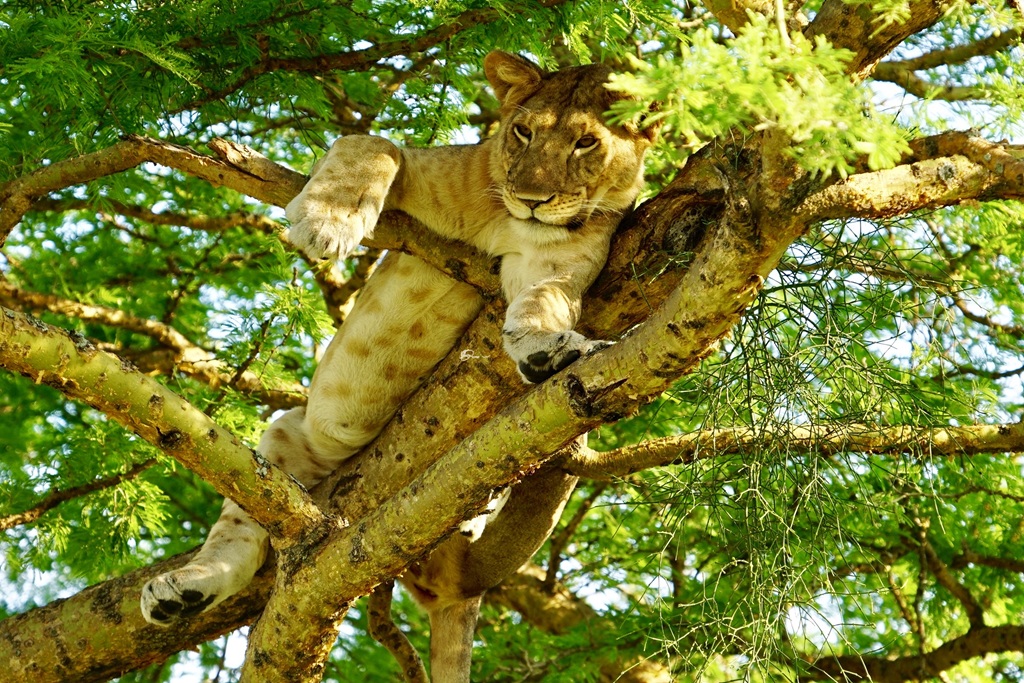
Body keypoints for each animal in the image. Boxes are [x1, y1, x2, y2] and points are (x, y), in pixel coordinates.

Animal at [141, 50, 654, 682]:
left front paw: (548, 346)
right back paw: (182, 590)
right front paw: (327, 222)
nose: (532, 198)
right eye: (522, 132)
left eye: (586, 143)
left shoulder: (550, 265)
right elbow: (373, 144)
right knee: (240, 530)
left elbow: (544, 302)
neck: (512, 219)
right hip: (287, 441)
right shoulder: (422, 166)